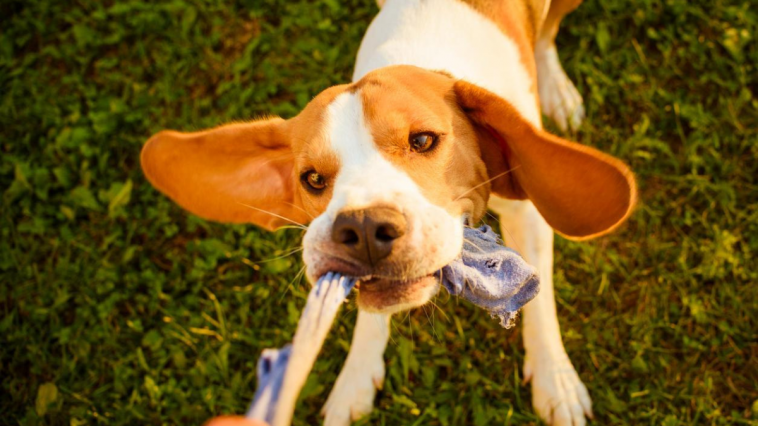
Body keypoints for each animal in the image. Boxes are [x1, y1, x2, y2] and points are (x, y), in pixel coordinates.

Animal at [141, 0, 636, 426]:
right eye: (313, 179)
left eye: (423, 140)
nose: (361, 227)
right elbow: (369, 317)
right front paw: (355, 377)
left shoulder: (528, 214)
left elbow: (541, 301)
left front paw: (556, 380)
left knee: (547, 36)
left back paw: (556, 88)